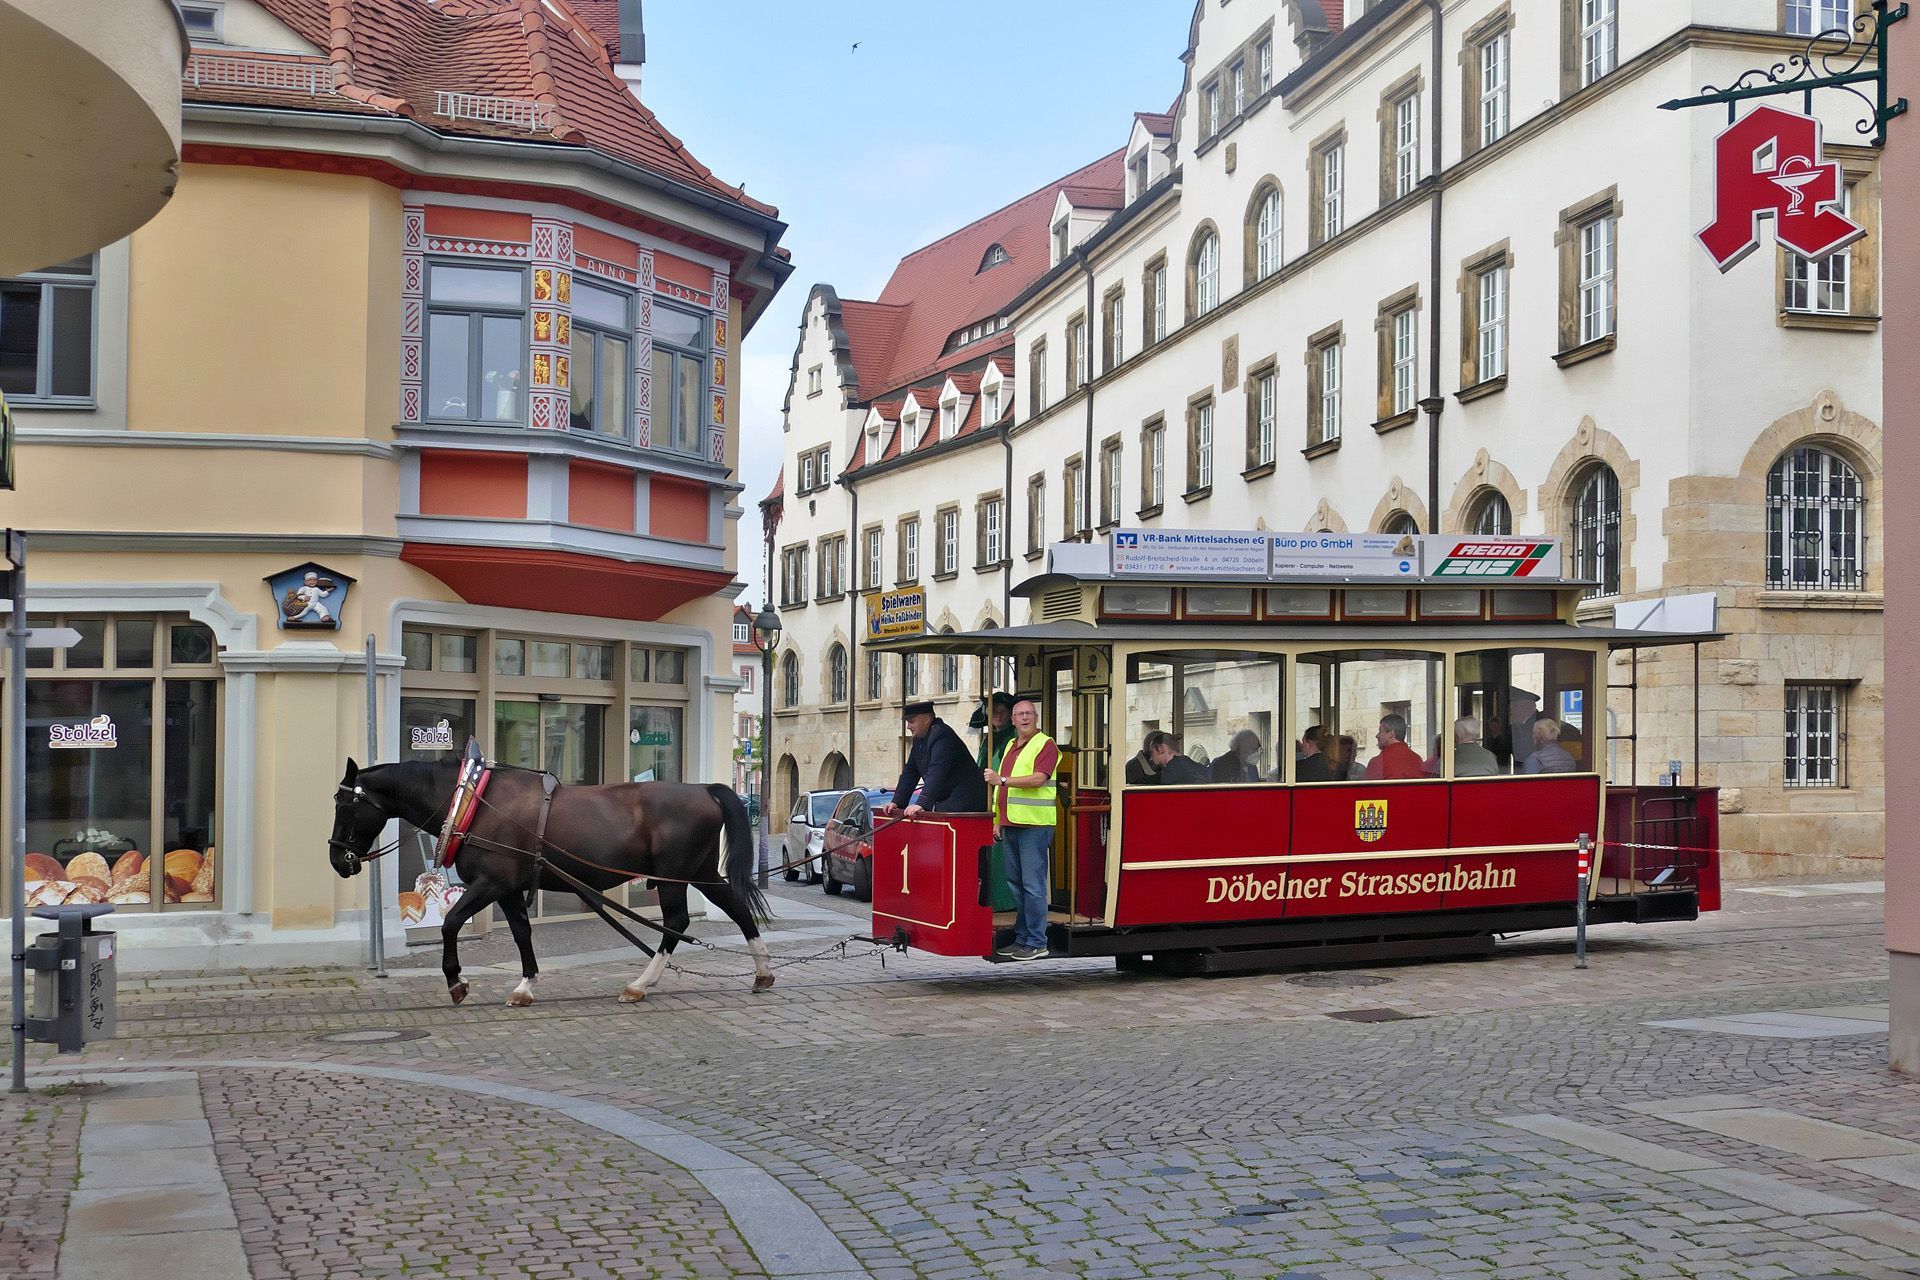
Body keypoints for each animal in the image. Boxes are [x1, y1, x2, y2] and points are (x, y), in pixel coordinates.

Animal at [330, 759, 771, 997]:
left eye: (344, 806)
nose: (337, 859)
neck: (475, 803)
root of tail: (704, 789)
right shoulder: (507, 889)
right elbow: (522, 931)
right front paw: (526, 985)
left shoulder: (490, 883)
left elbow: (452, 923)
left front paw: (456, 980)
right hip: (698, 872)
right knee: (734, 905)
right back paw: (763, 971)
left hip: (673, 877)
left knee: (677, 922)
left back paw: (641, 983)